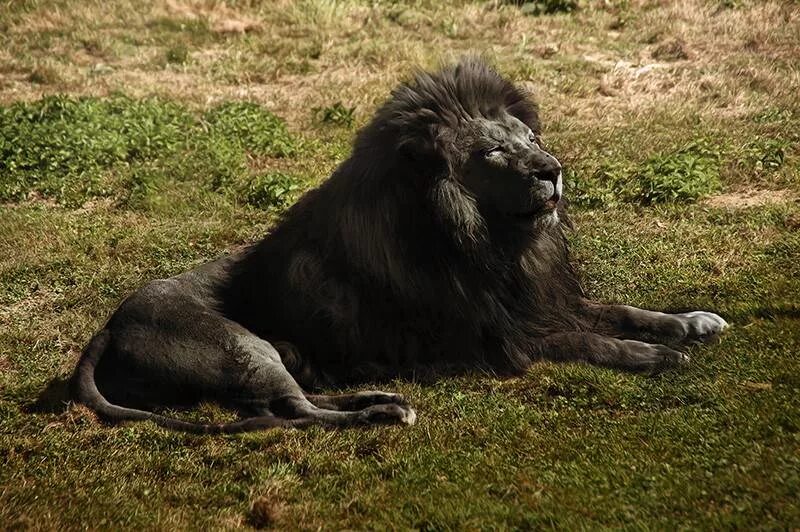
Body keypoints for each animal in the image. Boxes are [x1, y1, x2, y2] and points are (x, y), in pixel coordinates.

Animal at [72, 57, 728, 432]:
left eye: (531, 137)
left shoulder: (541, 300)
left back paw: (380, 393)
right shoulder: (498, 338)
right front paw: (655, 356)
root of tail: (110, 323)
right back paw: (388, 411)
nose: (553, 170)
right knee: (294, 413)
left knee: (297, 399)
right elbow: (588, 341)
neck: (499, 243)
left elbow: (621, 309)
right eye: (494, 150)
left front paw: (690, 322)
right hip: (239, 347)